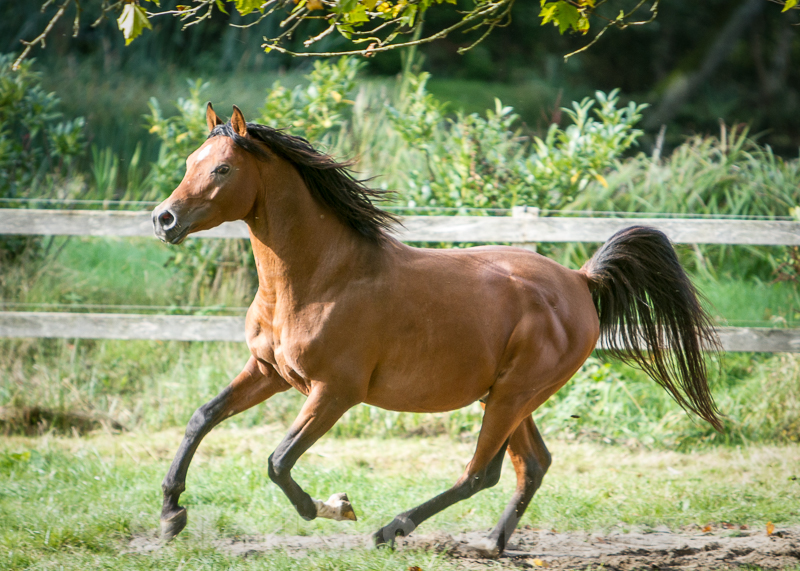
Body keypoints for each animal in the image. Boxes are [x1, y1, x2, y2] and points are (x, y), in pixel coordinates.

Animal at [153, 103, 720, 560]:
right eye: (190, 163)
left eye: (222, 167)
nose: (163, 219)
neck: (321, 278)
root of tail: (580, 280)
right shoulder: (268, 371)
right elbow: (202, 418)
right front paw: (171, 514)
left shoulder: (335, 392)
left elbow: (277, 461)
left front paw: (336, 506)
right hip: (511, 397)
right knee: (532, 465)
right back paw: (490, 544)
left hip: (513, 396)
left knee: (481, 472)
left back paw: (392, 529)